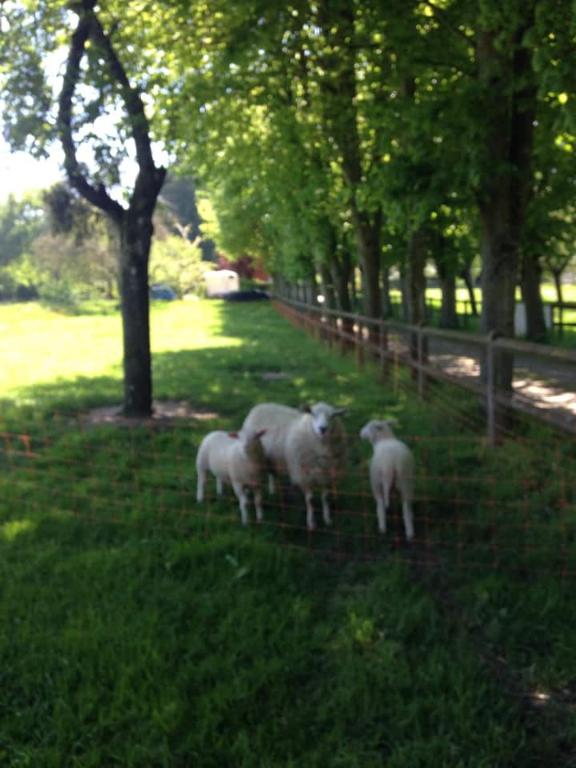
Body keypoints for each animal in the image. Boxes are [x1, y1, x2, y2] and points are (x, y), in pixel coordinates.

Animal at [242, 400, 346, 532]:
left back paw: (272, 491)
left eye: (332, 416)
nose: (323, 429)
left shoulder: (327, 475)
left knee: (272, 474)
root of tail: (260, 405)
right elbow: (310, 500)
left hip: (271, 458)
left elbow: (326, 498)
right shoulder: (304, 475)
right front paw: (311, 523)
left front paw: (327, 520)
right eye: (313, 414)